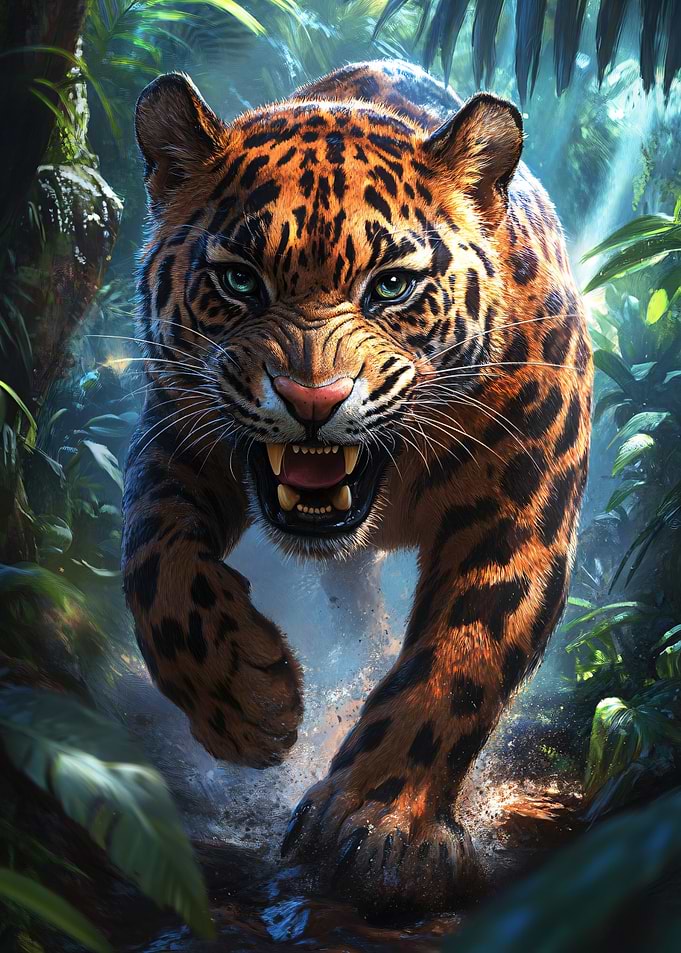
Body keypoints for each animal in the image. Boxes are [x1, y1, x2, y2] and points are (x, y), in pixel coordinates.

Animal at [122, 58, 593, 912]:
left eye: (393, 286)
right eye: (238, 280)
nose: (312, 400)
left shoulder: (519, 514)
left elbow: (458, 658)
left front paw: (382, 824)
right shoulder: (176, 439)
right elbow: (156, 569)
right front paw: (245, 704)